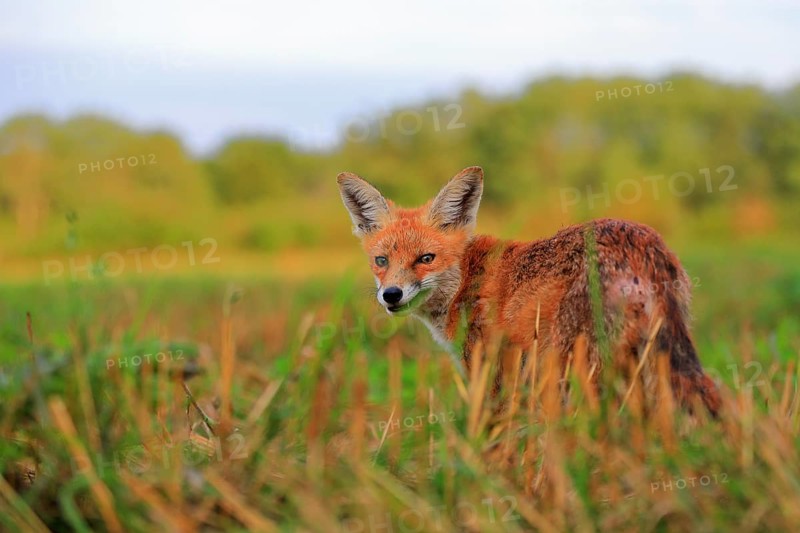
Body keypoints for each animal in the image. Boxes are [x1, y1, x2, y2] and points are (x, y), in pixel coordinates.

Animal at [336, 166, 721, 416]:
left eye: (426, 258)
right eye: (381, 261)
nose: (391, 295)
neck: (466, 277)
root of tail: (639, 243)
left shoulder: (490, 370)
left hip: (575, 368)